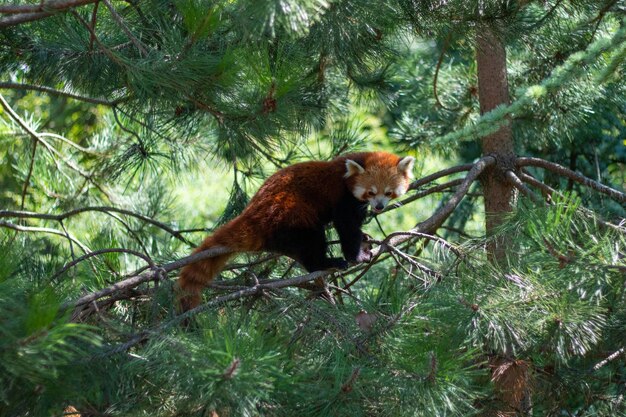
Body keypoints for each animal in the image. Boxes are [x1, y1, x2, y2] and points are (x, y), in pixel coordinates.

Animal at [178, 151, 414, 310]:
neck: (345, 173)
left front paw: (364, 235)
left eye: (389, 192)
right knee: (312, 241)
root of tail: (252, 213)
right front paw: (356, 254)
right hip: (290, 215)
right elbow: (346, 226)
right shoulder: (341, 198)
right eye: (371, 192)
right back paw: (325, 263)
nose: (379, 206)